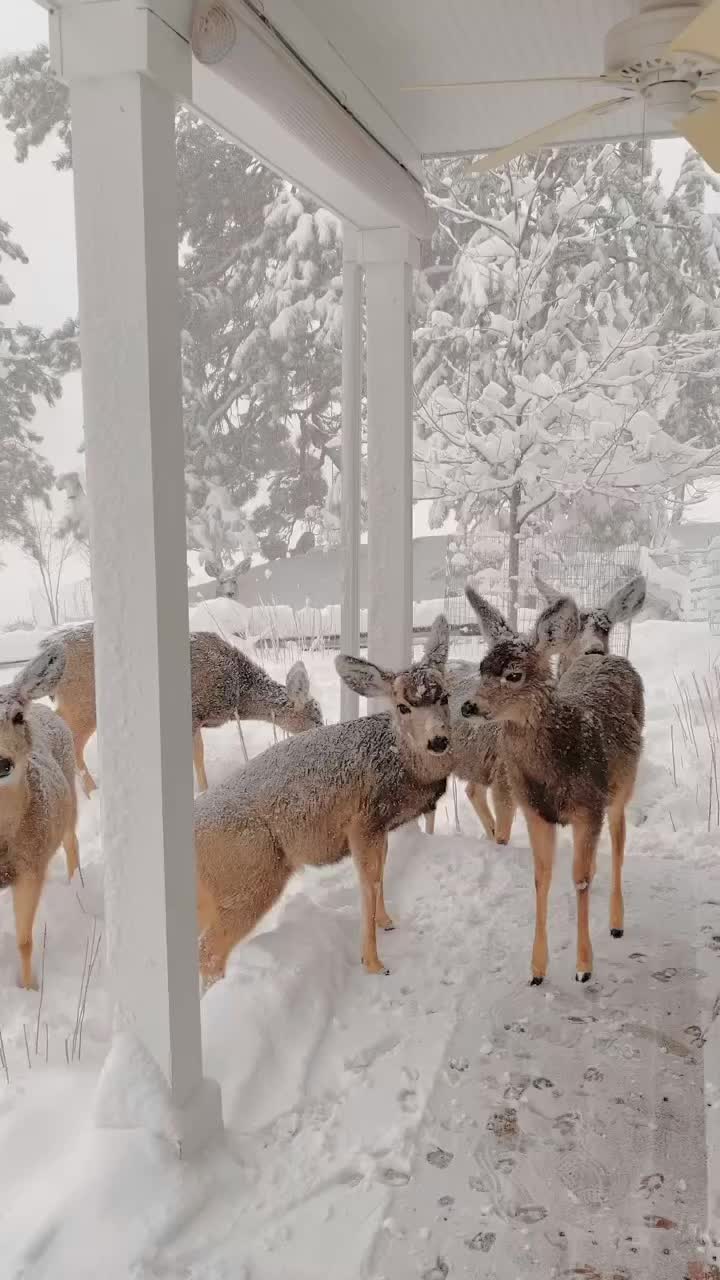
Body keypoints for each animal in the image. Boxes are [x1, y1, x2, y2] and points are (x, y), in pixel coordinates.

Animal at [18, 624, 320, 793]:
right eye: (316, 717)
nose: (322, 733)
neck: (237, 690)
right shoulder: (194, 712)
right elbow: (198, 755)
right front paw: (203, 791)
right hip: (83, 704)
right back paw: (90, 790)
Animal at [190, 614, 448, 983]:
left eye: (446, 696)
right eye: (403, 706)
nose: (438, 741)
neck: (395, 759)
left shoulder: (380, 826)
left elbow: (382, 873)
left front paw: (387, 922)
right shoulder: (363, 822)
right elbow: (368, 884)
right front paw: (373, 963)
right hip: (247, 880)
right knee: (209, 952)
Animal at [422, 576, 648, 844]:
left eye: (606, 627)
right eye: (575, 630)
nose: (594, 650)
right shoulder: (504, 779)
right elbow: (504, 833)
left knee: (471, 790)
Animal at [458, 588, 645, 988]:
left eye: (513, 674)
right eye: (481, 668)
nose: (468, 707)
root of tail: (604, 658)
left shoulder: (589, 806)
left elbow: (580, 879)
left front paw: (583, 967)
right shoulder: (535, 812)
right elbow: (540, 878)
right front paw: (537, 970)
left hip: (622, 786)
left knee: (619, 839)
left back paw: (617, 923)